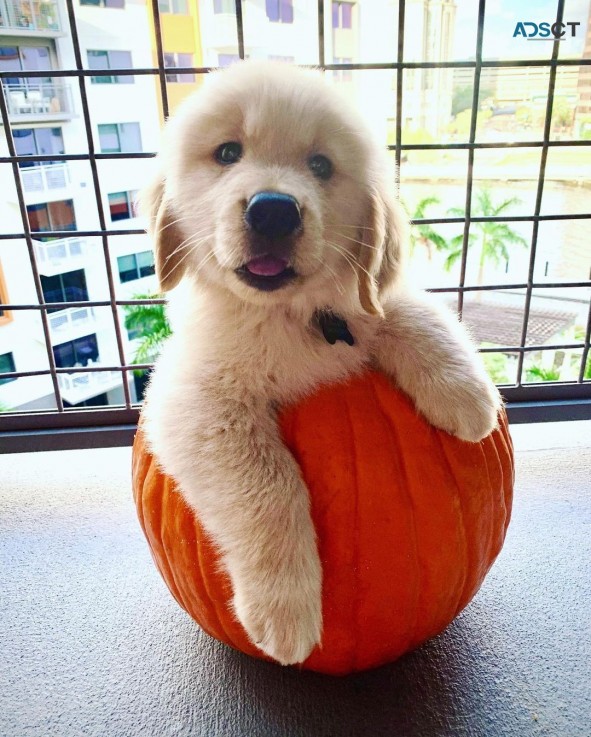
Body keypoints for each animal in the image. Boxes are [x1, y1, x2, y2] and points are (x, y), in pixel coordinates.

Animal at [141, 60, 502, 664]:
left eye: (320, 165)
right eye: (227, 153)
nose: (273, 210)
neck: (287, 315)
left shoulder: (362, 300)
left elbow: (403, 307)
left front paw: (467, 395)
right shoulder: (194, 398)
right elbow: (268, 485)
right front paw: (284, 611)